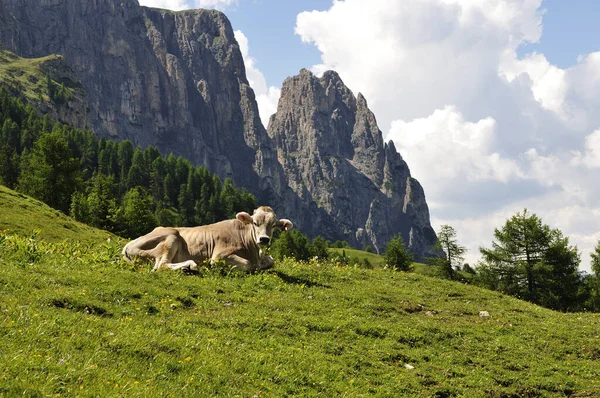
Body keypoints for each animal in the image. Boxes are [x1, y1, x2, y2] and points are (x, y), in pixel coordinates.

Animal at [120, 207, 292, 272]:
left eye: (273, 225)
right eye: (255, 223)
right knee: (160, 265)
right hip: (171, 236)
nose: (264, 239)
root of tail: (128, 245)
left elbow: (271, 261)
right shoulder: (218, 256)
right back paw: (190, 266)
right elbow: (247, 264)